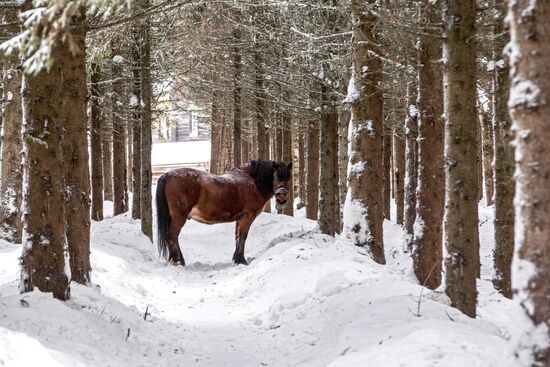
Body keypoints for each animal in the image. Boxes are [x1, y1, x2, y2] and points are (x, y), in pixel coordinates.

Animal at [155, 160, 294, 266]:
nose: (282, 198)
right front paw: (242, 260)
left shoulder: (240, 219)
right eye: (275, 177)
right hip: (179, 216)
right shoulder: (247, 217)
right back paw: (179, 260)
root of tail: (167, 174)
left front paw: (236, 259)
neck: (253, 182)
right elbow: (243, 237)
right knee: (172, 235)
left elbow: (237, 237)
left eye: (289, 178)